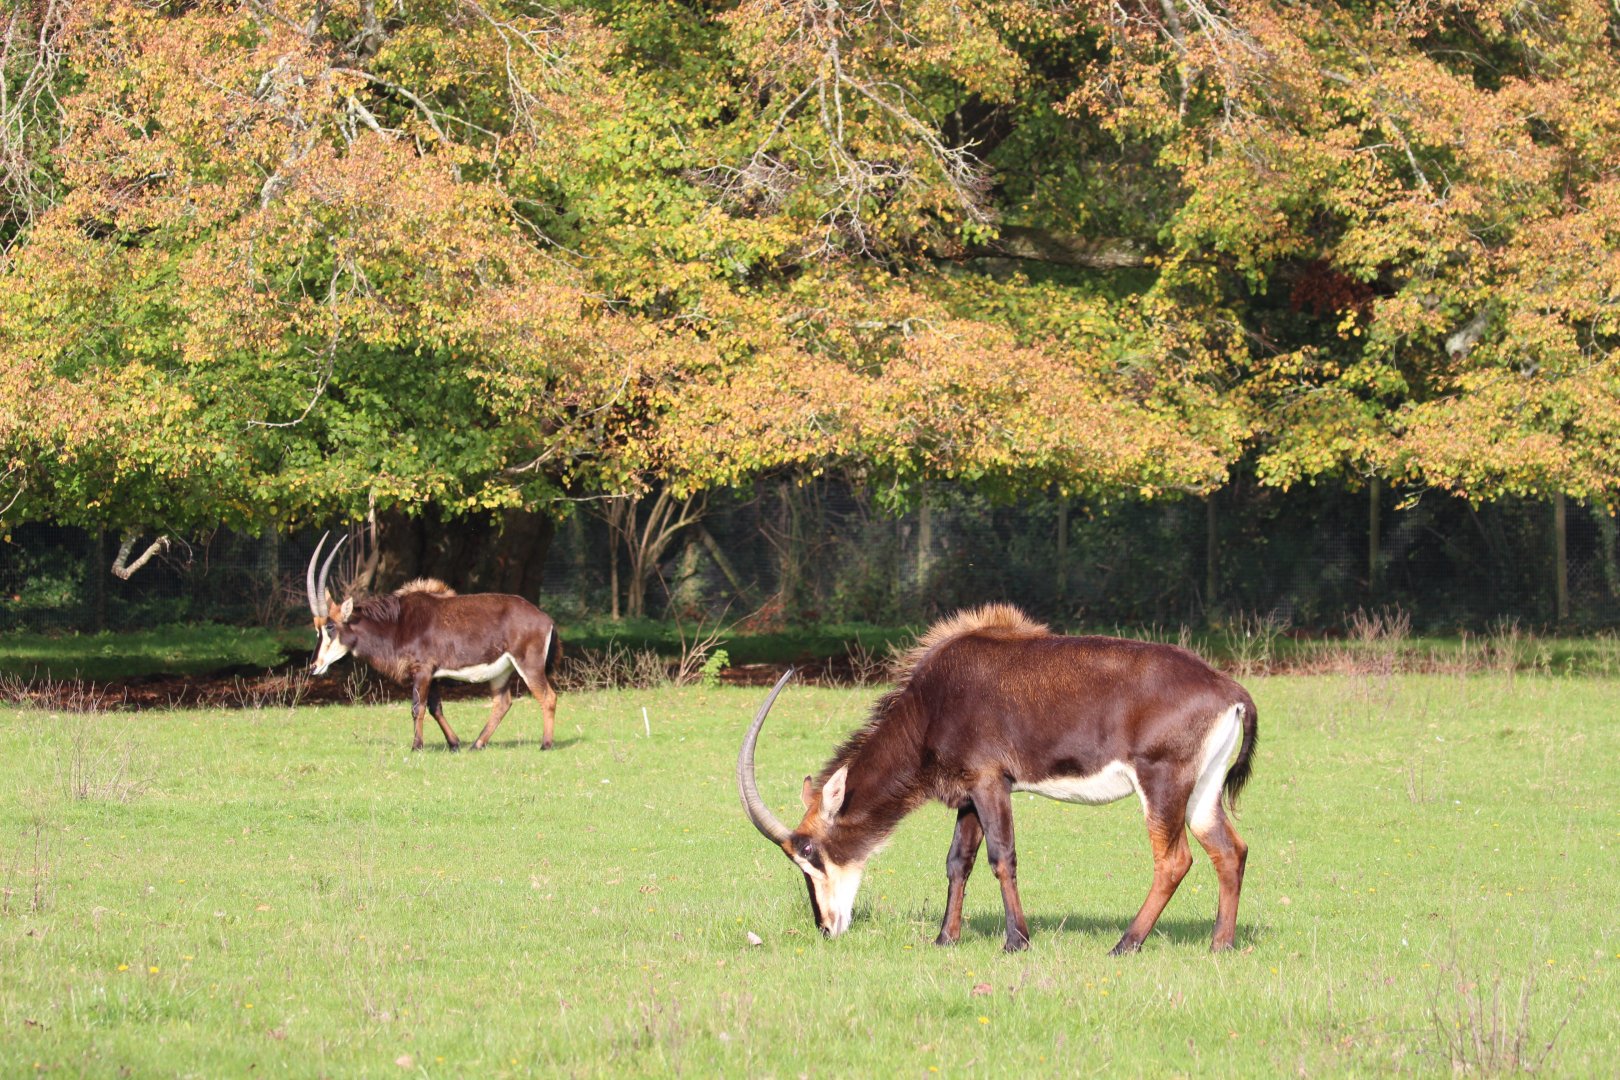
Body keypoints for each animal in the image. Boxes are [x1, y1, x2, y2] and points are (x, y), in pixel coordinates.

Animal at [305, 533, 563, 751]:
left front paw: (417, 746)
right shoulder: (433, 674)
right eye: (316, 628)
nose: (314, 666)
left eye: (330, 627)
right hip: (501, 671)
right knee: (502, 703)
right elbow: (435, 707)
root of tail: (546, 619)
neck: (396, 623)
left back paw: (546, 744)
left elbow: (417, 708)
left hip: (528, 665)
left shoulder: (422, 671)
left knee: (548, 697)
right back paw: (477, 744)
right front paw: (454, 743)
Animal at [738, 604, 1257, 954]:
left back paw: (1125, 944)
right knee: (1229, 849)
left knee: (1174, 860)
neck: (933, 700)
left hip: (1162, 782)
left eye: (809, 852)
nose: (827, 927)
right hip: (1202, 790)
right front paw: (945, 938)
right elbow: (957, 862)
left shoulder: (991, 783)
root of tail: (1230, 690)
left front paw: (1016, 940)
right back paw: (1220, 944)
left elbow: (1001, 857)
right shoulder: (968, 794)